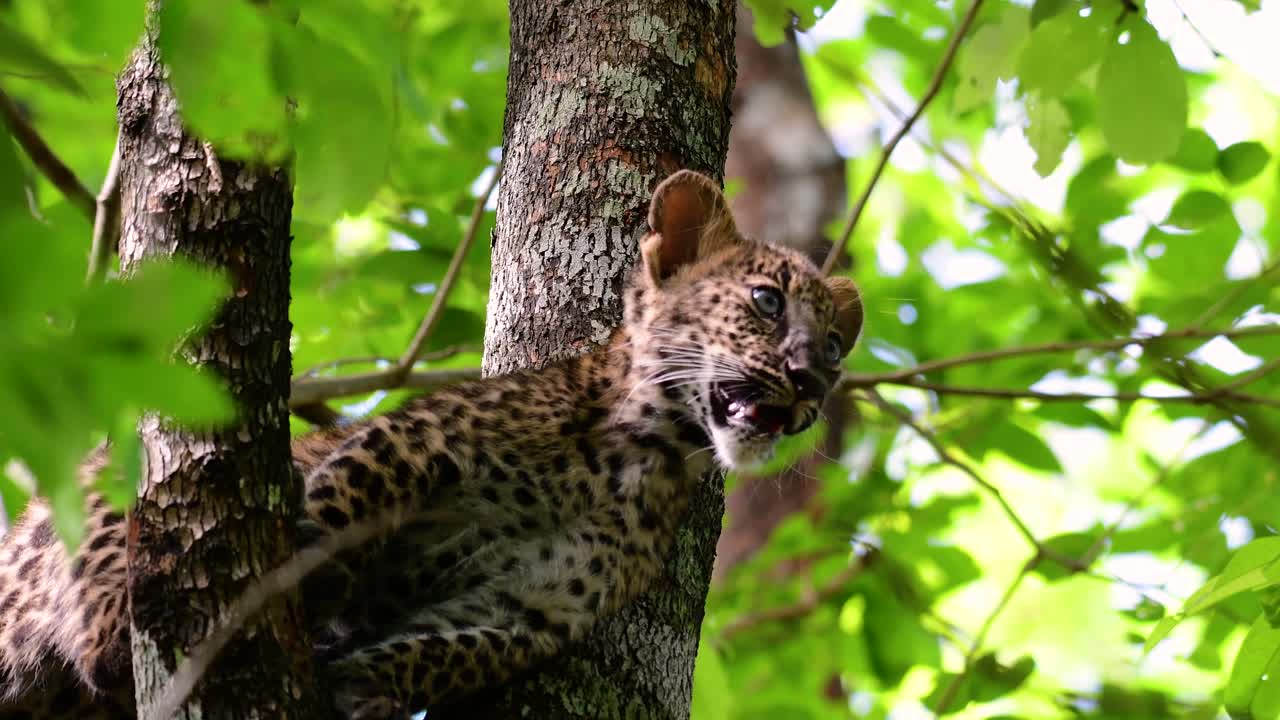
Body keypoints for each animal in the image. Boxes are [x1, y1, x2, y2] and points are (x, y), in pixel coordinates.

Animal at [0, 169, 863, 719]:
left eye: (833, 348)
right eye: (766, 301)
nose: (810, 385)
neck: (644, 452)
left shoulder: (533, 606)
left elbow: (454, 651)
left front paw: (367, 684)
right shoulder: (425, 436)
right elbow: (353, 486)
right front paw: (316, 565)